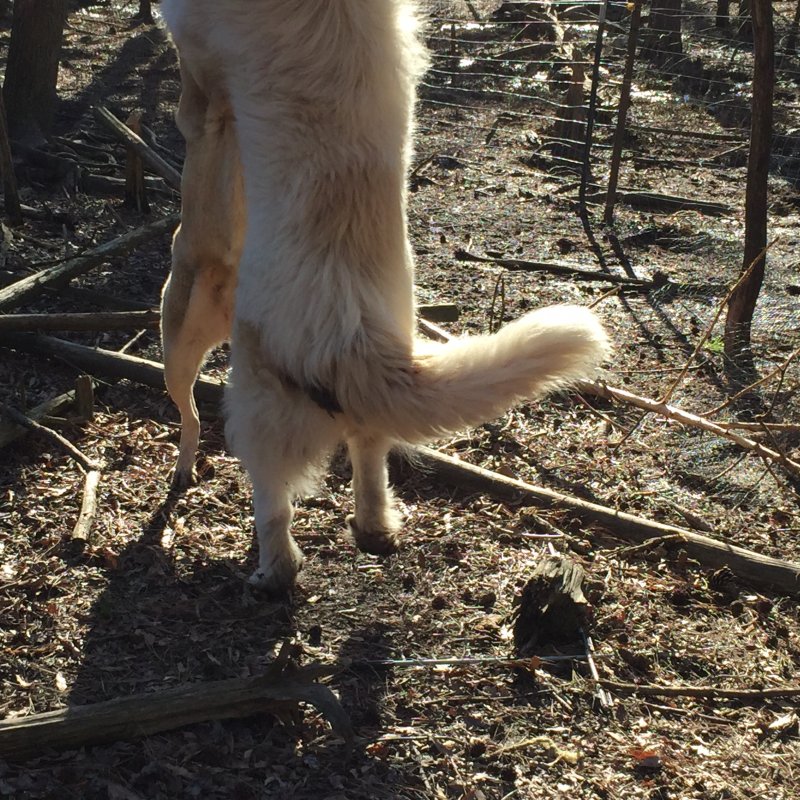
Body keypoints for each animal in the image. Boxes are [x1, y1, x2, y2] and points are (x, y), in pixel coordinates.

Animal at [161, 0, 612, 592]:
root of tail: (357, 338)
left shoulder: (197, 59)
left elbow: (191, 94)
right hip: (362, 407)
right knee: (370, 468)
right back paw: (374, 528)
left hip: (223, 378)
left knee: (253, 488)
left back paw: (260, 563)